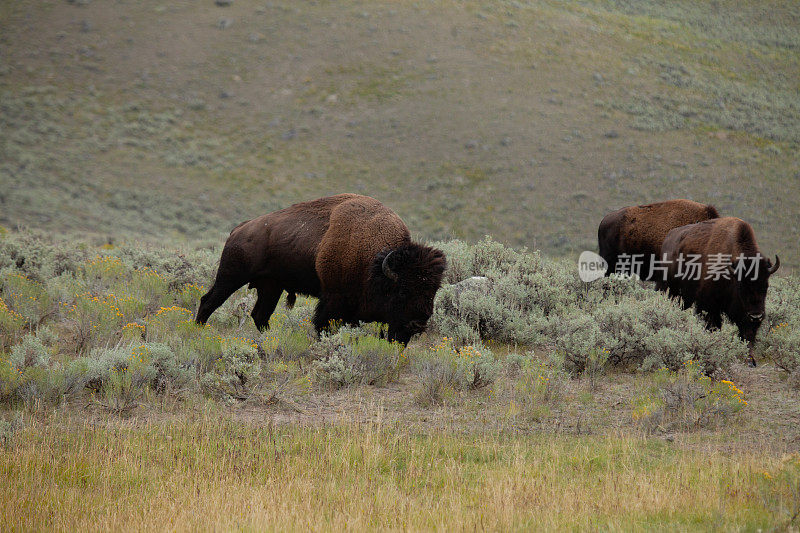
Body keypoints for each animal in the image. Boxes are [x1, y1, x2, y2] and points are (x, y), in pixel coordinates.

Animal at [191, 193, 446, 342]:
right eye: (402, 291)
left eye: (433, 291)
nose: (418, 324)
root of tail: (239, 229)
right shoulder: (334, 299)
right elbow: (323, 325)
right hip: (231, 276)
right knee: (209, 301)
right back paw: (197, 332)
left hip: (271, 286)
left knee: (260, 314)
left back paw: (271, 339)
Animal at [656, 214, 780, 364]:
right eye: (741, 287)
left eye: (766, 285)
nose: (756, 316)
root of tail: (667, 239)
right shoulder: (709, 306)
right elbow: (713, 326)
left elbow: (747, 335)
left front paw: (750, 359)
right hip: (667, 289)